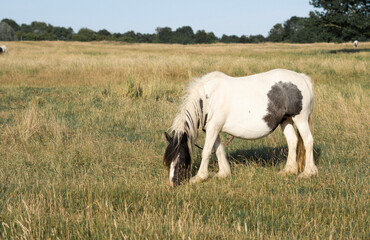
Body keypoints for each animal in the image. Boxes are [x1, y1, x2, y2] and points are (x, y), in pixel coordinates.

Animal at [165, 68, 318, 187]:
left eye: (180, 157)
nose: (172, 183)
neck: (209, 98)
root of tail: (302, 78)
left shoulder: (213, 127)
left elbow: (207, 151)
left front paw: (199, 177)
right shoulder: (213, 128)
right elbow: (219, 149)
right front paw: (223, 173)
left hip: (300, 119)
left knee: (308, 141)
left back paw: (308, 172)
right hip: (286, 120)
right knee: (292, 141)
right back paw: (289, 170)